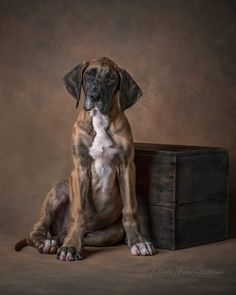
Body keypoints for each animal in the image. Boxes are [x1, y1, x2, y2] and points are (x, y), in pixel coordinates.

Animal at [15, 57, 157, 262]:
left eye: (111, 78)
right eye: (89, 74)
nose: (95, 97)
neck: (99, 120)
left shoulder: (127, 167)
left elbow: (130, 209)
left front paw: (138, 242)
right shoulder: (80, 169)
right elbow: (79, 212)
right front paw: (71, 247)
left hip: (111, 232)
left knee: (75, 236)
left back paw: (61, 240)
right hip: (59, 189)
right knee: (35, 231)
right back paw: (47, 243)